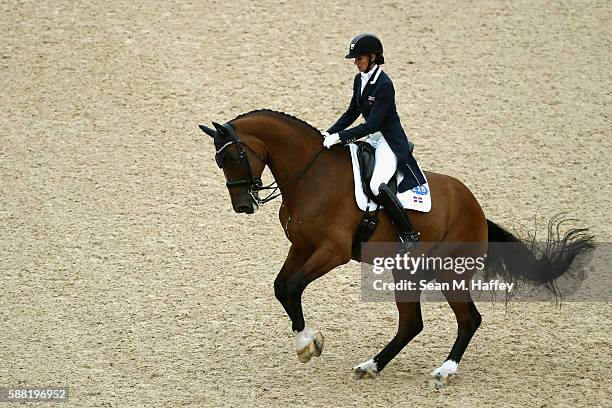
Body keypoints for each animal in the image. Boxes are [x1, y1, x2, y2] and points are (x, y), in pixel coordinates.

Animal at [200, 108, 592, 382]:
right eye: (219, 161)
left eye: (232, 157)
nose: (243, 206)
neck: (311, 176)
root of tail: (476, 209)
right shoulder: (301, 246)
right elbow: (282, 287)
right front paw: (306, 343)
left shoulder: (332, 252)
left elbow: (294, 286)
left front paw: (309, 344)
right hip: (407, 271)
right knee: (412, 323)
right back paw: (371, 365)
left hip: (449, 274)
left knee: (468, 319)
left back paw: (444, 371)